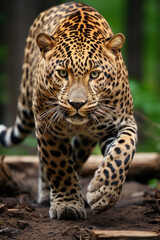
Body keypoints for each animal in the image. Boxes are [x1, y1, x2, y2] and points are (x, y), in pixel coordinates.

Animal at [0, 1, 138, 219]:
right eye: (63, 73)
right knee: (46, 161)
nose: (77, 104)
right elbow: (59, 165)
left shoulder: (121, 123)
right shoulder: (47, 127)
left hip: (86, 141)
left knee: (77, 157)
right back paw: (47, 194)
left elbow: (123, 151)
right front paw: (67, 205)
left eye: (95, 74)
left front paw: (103, 193)